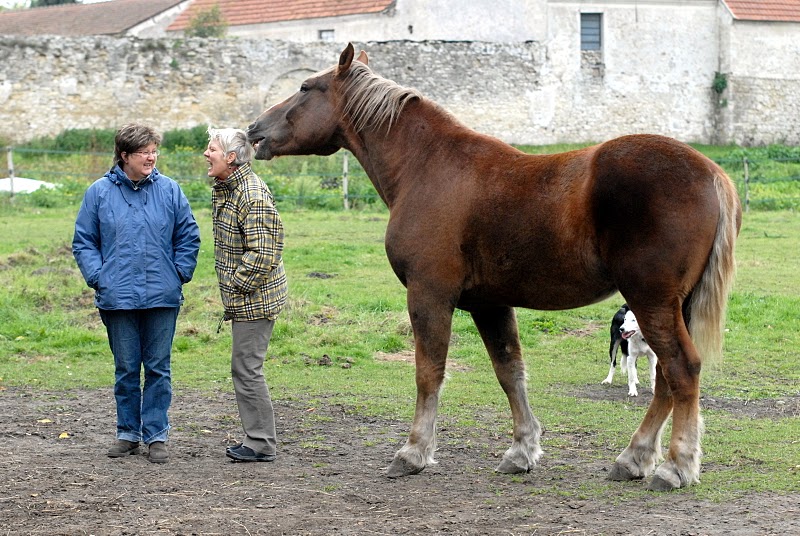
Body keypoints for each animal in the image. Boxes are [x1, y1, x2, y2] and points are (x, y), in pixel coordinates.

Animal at [247, 44, 740, 492]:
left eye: (305, 87)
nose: (254, 129)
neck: (428, 166)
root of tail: (712, 173)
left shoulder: (429, 295)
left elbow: (429, 372)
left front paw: (414, 452)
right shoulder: (491, 305)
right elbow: (510, 373)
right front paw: (522, 451)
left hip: (651, 301)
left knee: (680, 370)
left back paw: (674, 467)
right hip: (674, 306)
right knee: (665, 380)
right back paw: (633, 459)